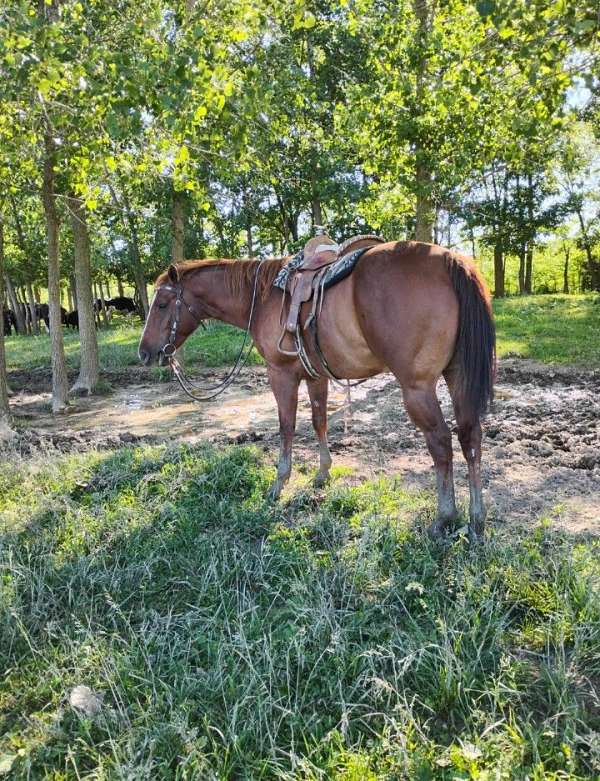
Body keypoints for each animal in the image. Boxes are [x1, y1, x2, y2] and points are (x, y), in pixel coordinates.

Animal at [138, 241, 495, 542]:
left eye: (163, 304)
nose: (144, 353)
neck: (263, 297)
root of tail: (449, 260)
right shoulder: (315, 376)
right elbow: (319, 421)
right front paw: (323, 473)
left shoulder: (280, 374)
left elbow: (287, 427)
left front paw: (278, 483)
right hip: (458, 376)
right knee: (470, 438)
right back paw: (476, 519)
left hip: (417, 388)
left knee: (441, 443)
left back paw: (444, 517)